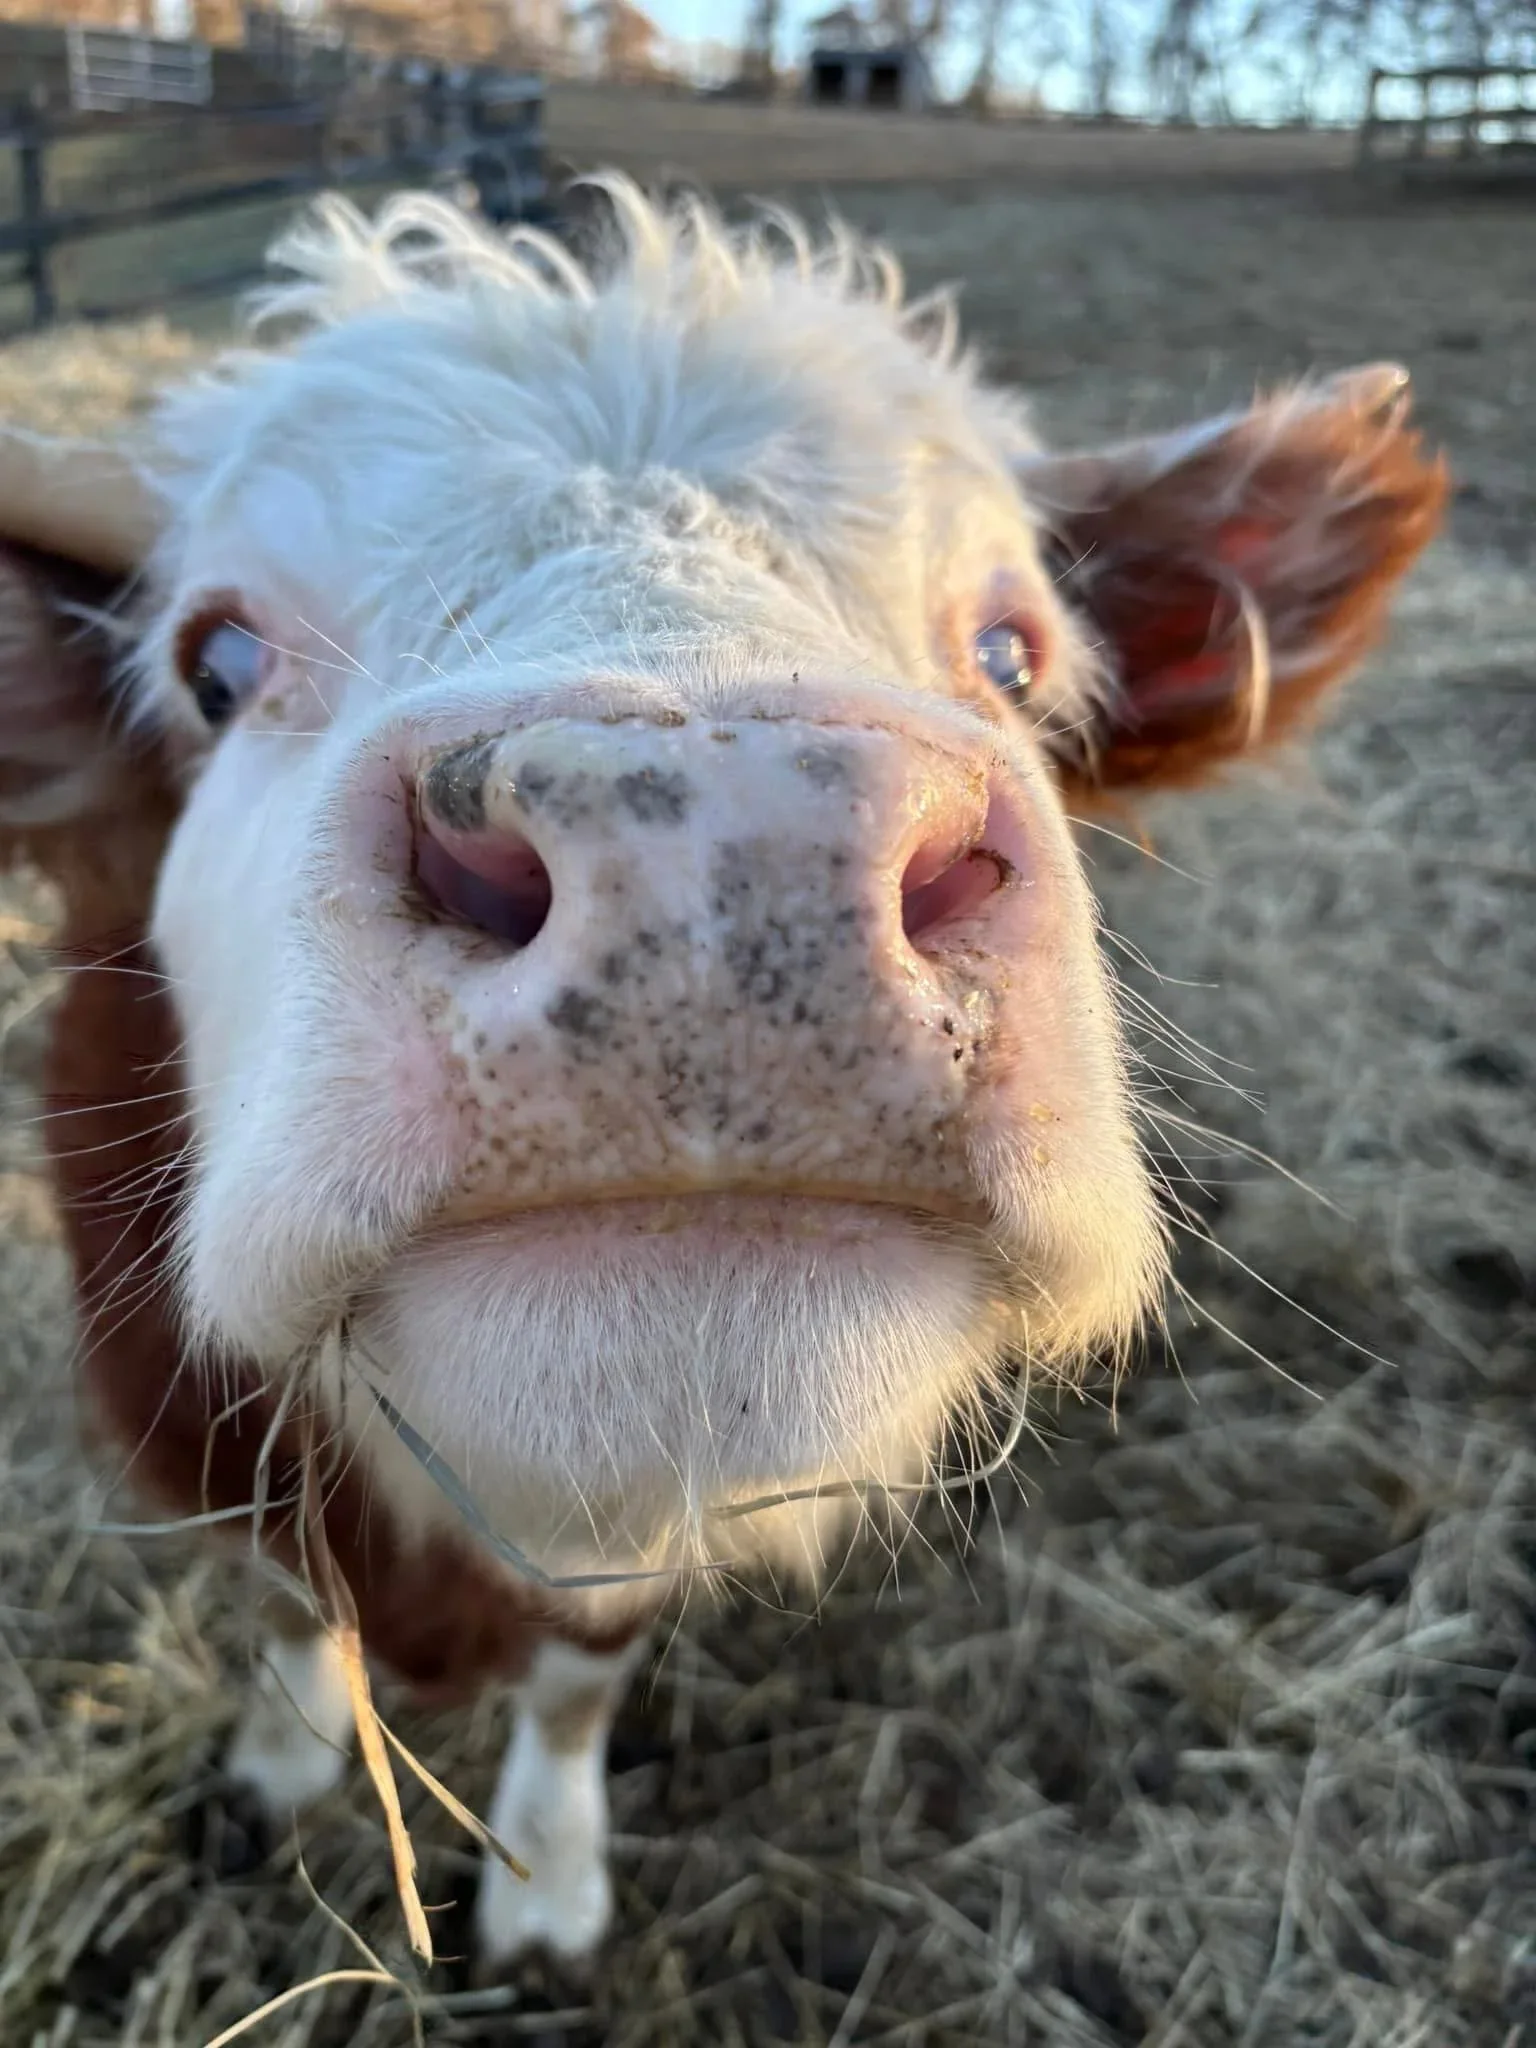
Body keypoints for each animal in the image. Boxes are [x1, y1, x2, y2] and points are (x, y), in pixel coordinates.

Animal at [0, 181, 1445, 1971]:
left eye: (1011, 652)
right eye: (213, 659)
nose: (721, 844)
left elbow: (575, 1683)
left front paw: (547, 1885)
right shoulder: (182, 1419)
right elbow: (283, 1596)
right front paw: (276, 1765)